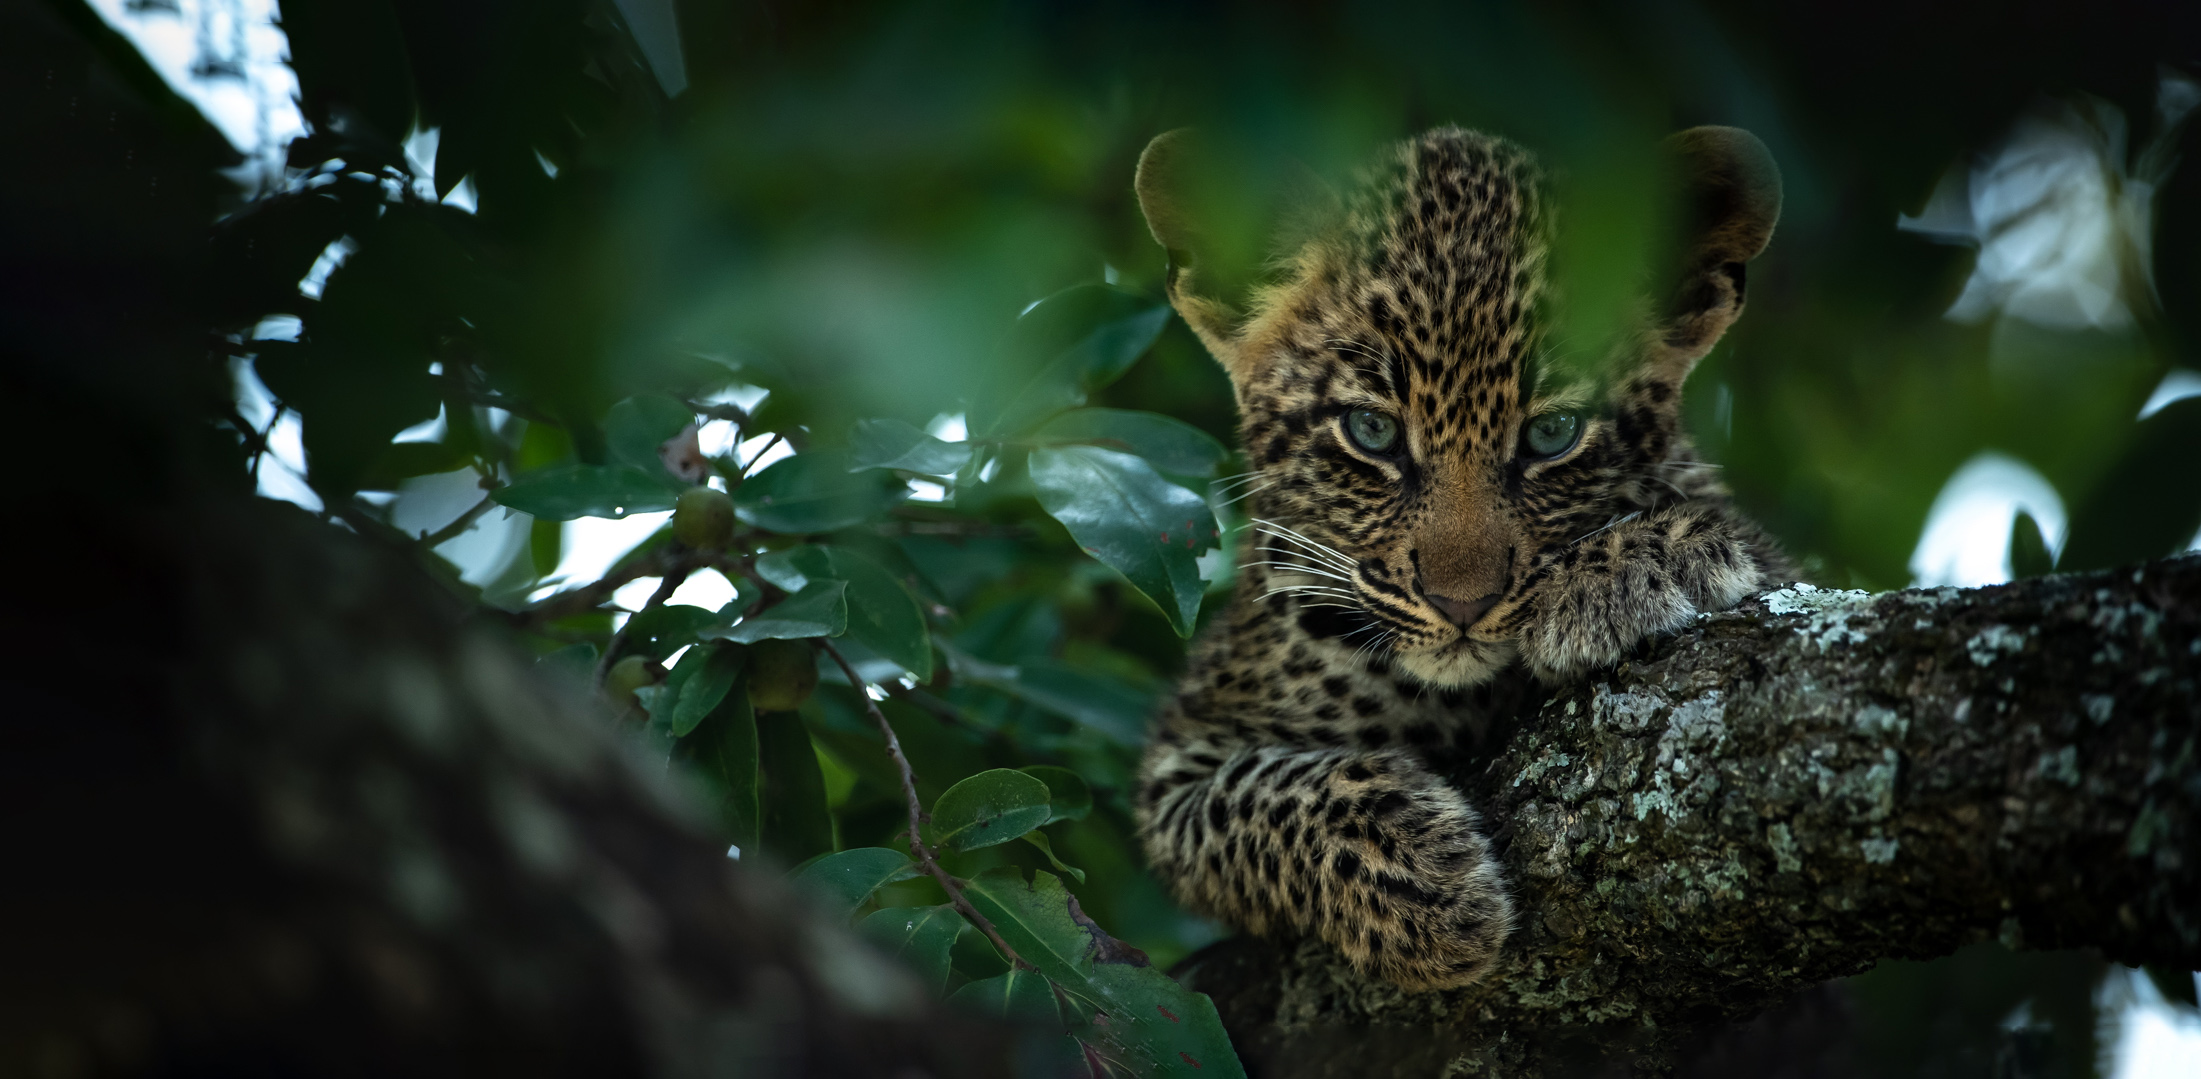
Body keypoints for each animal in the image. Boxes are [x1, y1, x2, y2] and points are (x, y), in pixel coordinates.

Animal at [1131, 124, 1794, 991]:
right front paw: (1422, 887)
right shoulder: (1178, 762)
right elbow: (1259, 796)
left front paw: (1640, 563)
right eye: (1370, 431)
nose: (1461, 604)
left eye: (1552, 434)